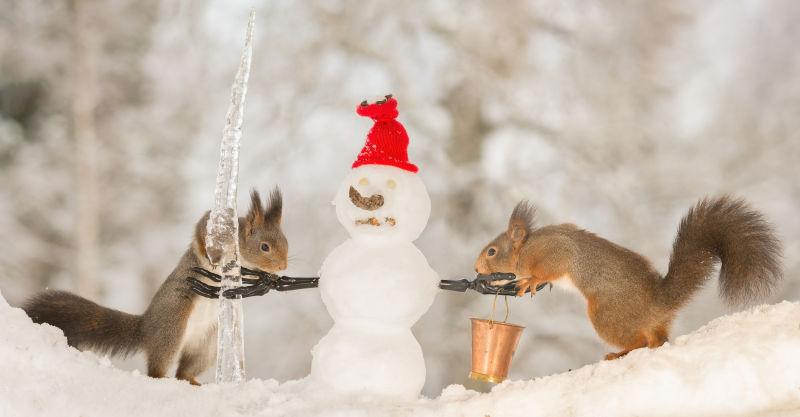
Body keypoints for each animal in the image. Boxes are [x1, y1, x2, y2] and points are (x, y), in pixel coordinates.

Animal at [22, 188, 288, 384]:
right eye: (264, 247)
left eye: (286, 242)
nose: (283, 266)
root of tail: (146, 326)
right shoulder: (213, 226)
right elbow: (201, 235)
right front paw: (211, 257)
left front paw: (268, 281)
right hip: (172, 328)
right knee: (157, 369)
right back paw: (163, 380)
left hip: (208, 345)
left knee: (184, 371)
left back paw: (193, 382)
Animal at [476, 197, 780, 360]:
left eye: (492, 251)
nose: (476, 268)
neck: (524, 249)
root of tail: (656, 302)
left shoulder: (553, 251)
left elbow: (548, 267)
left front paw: (530, 280)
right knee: (656, 340)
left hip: (606, 315)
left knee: (641, 341)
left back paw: (618, 353)